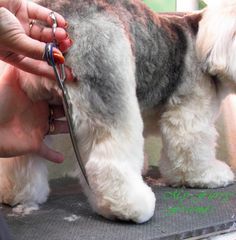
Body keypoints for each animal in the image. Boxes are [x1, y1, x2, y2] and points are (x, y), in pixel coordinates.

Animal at [0, 0, 235, 224]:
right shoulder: (190, 114)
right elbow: (194, 150)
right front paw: (207, 175)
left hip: (30, 109)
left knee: (21, 157)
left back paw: (16, 193)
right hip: (109, 87)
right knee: (108, 163)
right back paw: (127, 206)